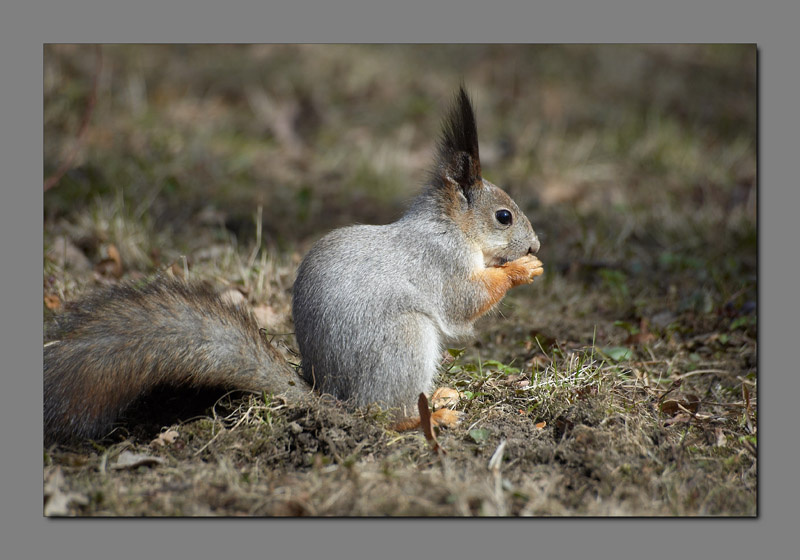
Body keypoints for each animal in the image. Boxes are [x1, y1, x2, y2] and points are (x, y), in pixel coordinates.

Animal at [43, 87, 543, 444]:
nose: (537, 244)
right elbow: (464, 300)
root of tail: (336, 401)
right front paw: (521, 270)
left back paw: (435, 397)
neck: (450, 226)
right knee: (384, 417)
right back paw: (431, 417)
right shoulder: (440, 261)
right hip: (404, 342)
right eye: (504, 216)